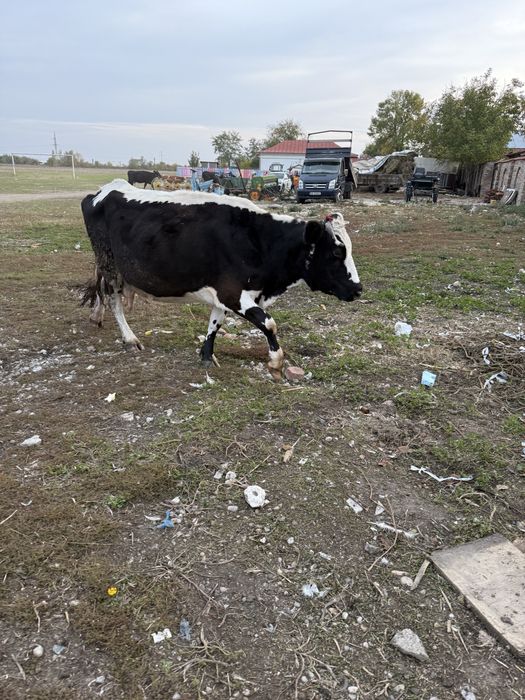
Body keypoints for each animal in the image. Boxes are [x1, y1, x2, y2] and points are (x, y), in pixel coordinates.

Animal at [80, 179, 362, 380]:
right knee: (113, 299)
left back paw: (96, 317)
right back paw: (129, 338)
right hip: (110, 265)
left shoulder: (222, 293)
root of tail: (105, 189)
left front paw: (206, 355)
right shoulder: (232, 292)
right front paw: (275, 363)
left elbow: (215, 323)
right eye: (337, 252)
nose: (358, 289)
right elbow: (268, 323)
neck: (260, 241)